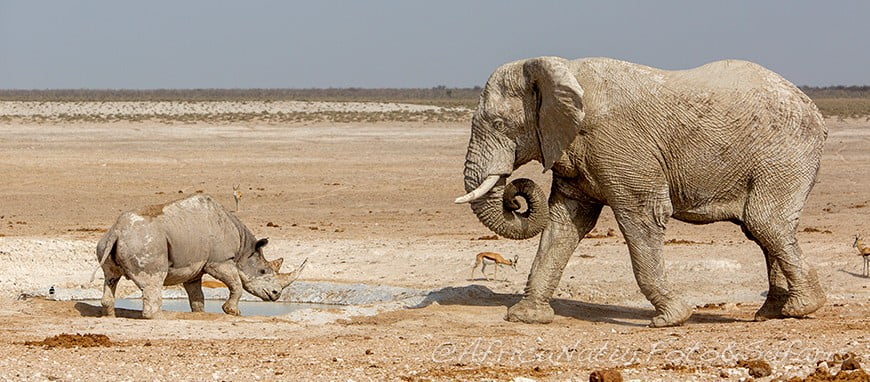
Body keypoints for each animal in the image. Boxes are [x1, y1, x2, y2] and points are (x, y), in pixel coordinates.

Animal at [456, 55, 832, 326]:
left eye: (500, 124)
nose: (514, 196)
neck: (562, 69)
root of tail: (813, 107)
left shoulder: (621, 147)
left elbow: (642, 217)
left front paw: (670, 319)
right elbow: (564, 225)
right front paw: (526, 317)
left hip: (786, 155)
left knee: (765, 222)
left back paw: (801, 309)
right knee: (761, 230)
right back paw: (770, 314)